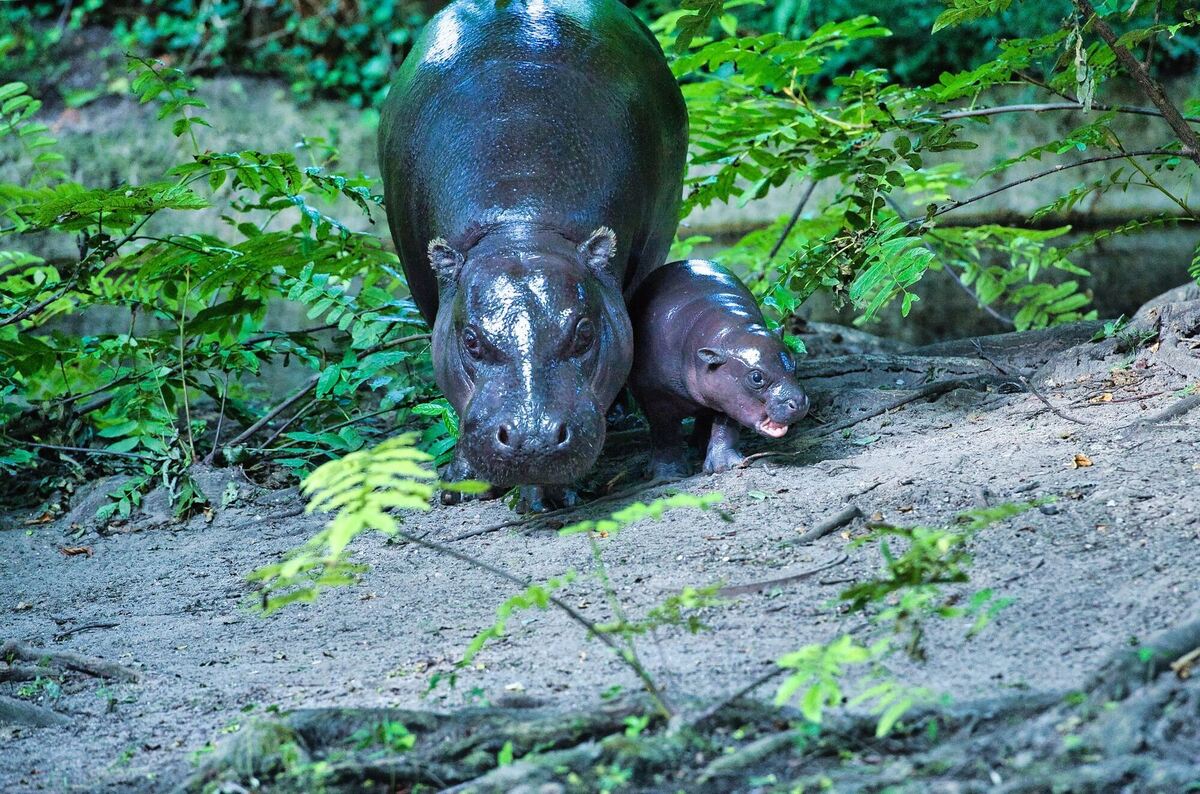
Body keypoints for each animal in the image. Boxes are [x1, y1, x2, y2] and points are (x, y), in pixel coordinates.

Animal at [378, 0, 688, 510]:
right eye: (471, 341)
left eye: (584, 334)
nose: (534, 439)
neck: (521, 224)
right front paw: (459, 484)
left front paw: (548, 497)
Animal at [628, 260, 810, 478]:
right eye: (756, 377)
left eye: (794, 363)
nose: (799, 402)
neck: (729, 331)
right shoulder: (656, 396)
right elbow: (665, 432)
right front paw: (669, 475)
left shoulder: (728, 396)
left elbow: (726, 425)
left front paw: (725, 465)